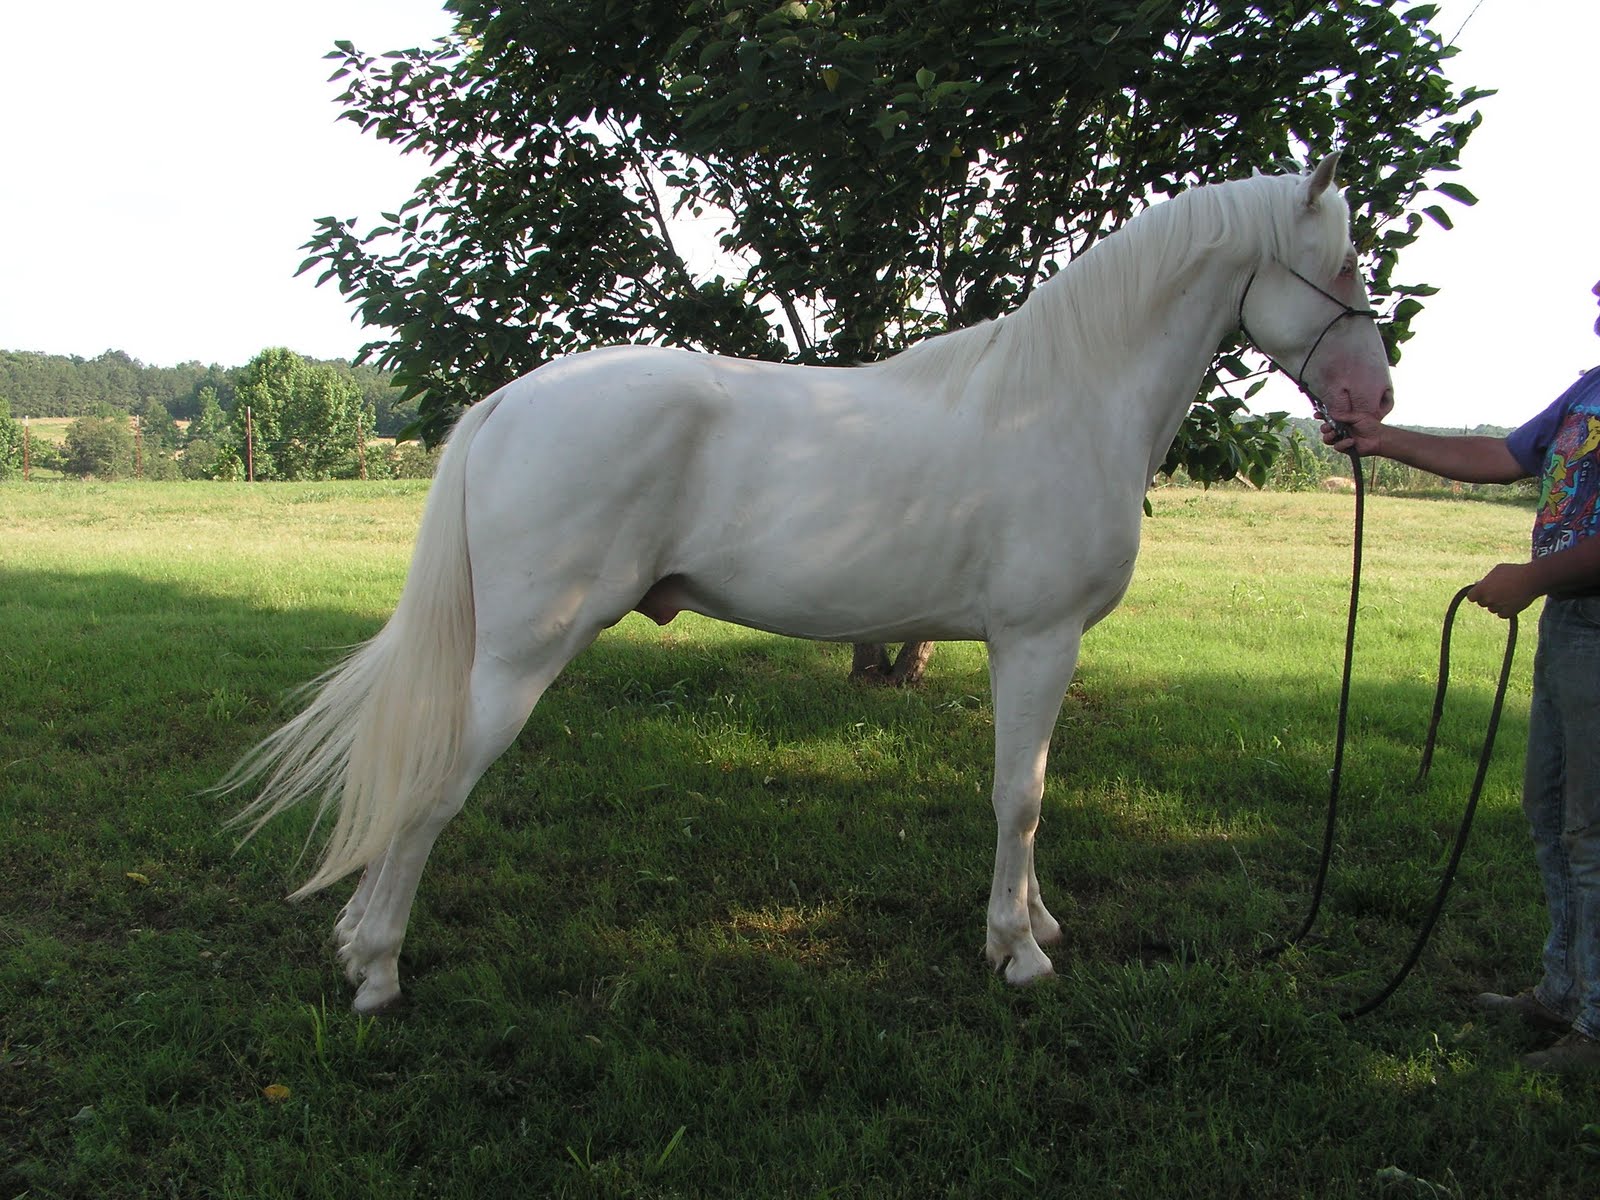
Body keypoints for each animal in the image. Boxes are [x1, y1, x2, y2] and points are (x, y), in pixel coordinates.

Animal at [224, 153, 1394, 1013]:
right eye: (1341, 267)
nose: (1372, 402)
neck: (1063, 400)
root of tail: (514, 399)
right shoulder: (1036, 640)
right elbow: (1019, 795)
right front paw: (1017, 953)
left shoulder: (1037, 650)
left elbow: (1032, 792)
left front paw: (1036, 922)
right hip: (521, 657)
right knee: (431, 787)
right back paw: (377, 969)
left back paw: (356, 943)